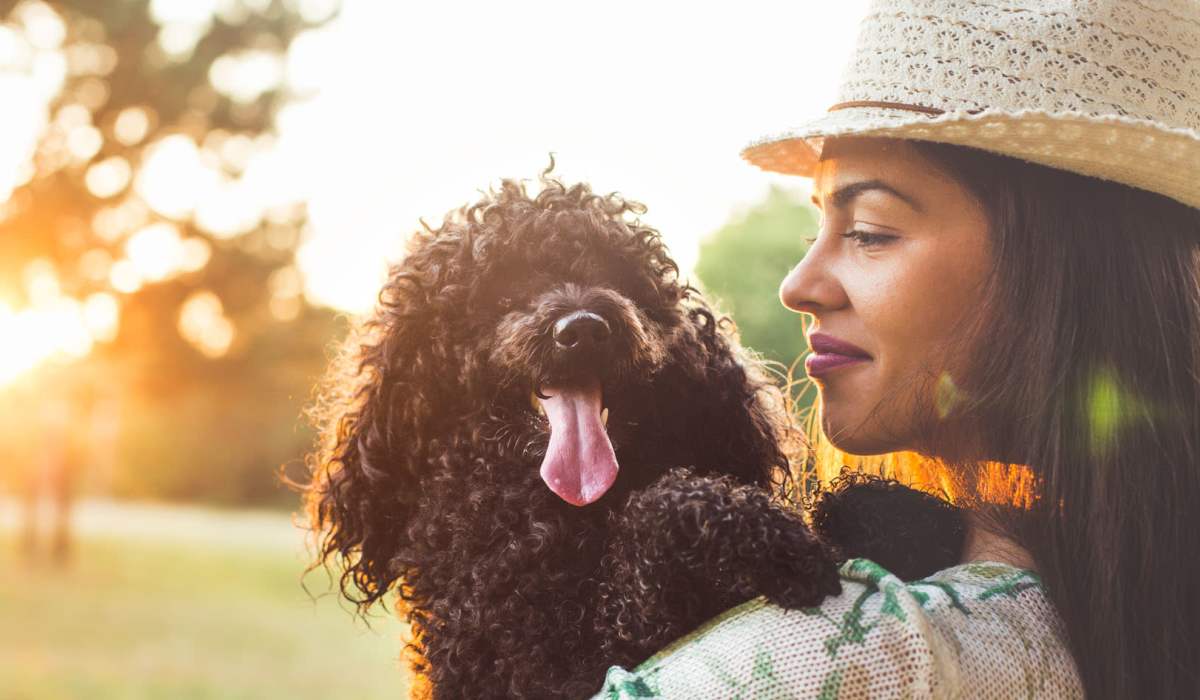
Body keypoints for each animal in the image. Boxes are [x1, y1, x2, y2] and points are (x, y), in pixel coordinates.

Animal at [302, 171, 964, 700]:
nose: (583, 328)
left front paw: (903, 514)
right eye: (503, 292)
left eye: (615, 276)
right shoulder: (541, 665)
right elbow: (664, 513)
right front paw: (777, 542)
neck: (556, 511)